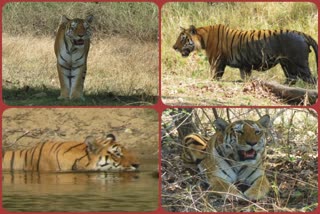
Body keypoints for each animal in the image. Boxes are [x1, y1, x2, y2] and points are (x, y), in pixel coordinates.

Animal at [174, 24, 316, 85]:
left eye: (183, 38)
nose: (174, 47)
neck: (204, 38)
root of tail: (302, 34)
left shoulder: (217, 61)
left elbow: (215, 75)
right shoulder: (244, 66)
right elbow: (245, 77)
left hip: (299, 64)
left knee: (312, 79)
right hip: (287, 65)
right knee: (292, 78)